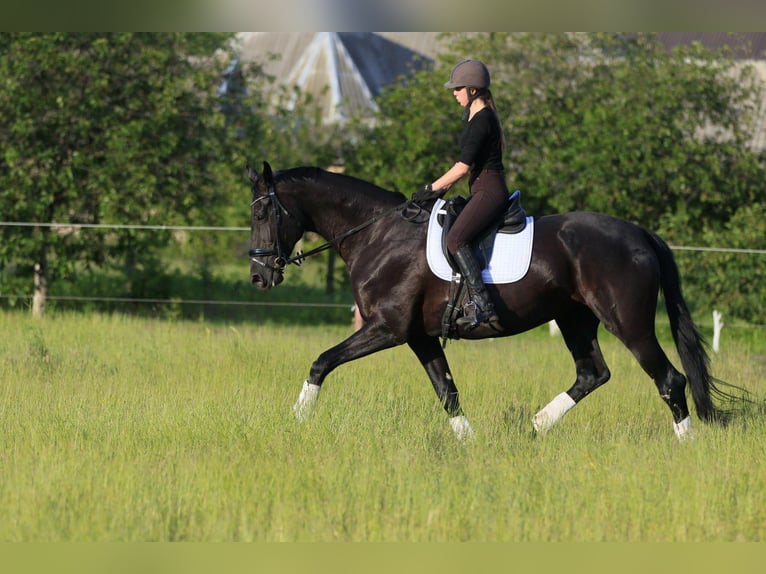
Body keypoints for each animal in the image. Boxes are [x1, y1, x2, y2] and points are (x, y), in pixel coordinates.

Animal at [249, 162, 736, 440]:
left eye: (262, 211)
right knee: (592, 374)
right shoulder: (419, 336)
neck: (377, 233)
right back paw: (534, 427)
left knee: (670, 379)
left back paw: (686, 446)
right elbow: (447, 391)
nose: (258, 276)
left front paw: (295, 421)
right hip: (575, 319)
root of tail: (639, 234)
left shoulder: (386, 328)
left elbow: (321, 362)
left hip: (628, 323)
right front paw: (470, 443)